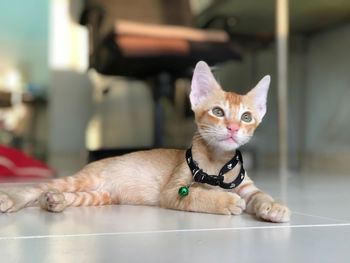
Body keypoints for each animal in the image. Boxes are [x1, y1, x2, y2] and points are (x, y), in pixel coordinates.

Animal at [0, 61, 290, 223]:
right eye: (218, 112)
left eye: (246, 117)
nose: (233, 128)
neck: (217, 163)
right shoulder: (174, 191)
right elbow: (198, 195)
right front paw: (225, 200)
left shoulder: (247, 186)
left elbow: (259, 194)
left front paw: (273, 206)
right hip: (81, 180)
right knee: (36, 187)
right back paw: (13, 199)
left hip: (100, 196)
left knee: (59, 195)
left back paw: (54, 201)